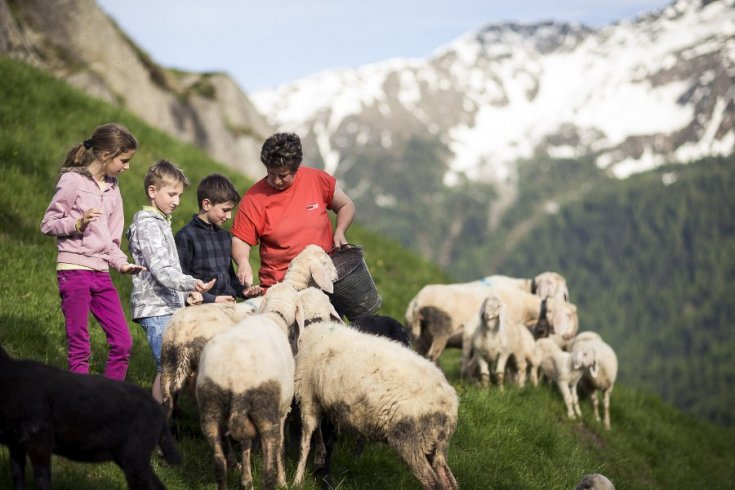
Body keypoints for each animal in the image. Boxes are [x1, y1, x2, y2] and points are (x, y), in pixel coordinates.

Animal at [0, 344, 181, 490]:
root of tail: (159, 412)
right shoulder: (15, 442)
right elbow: (17, 476)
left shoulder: (39, 439)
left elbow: (42, 480)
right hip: (130, 456)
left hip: (135, 455)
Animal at [196, 282, 304, 490]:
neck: (275, 315)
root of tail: (235, 373)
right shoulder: (281, 412)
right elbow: (280, 448)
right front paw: (283, 481)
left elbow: (246, 446)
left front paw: (246, 480)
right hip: (266, 412)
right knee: (267, 472)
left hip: (211, 411)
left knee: (219, 465)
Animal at [294, 320, 460, 488]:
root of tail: (451, 403)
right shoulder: (317, 400)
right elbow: (318, 432)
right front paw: (319, 459)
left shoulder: (308, 396)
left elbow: (305, 442)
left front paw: (297, 480)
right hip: (433, 444)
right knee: (448, 479)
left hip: (409, 440)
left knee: (434, 483)